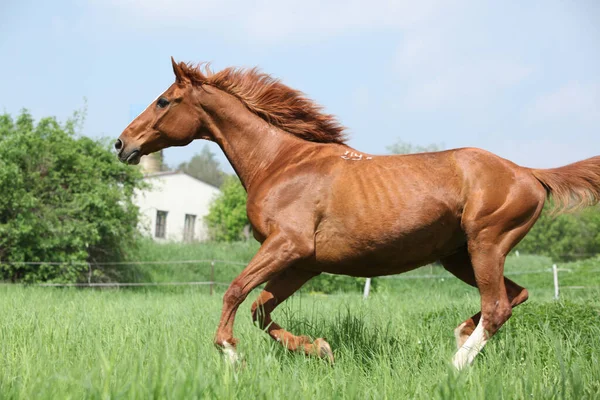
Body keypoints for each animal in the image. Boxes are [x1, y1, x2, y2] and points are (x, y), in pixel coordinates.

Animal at [113, 57, 600, 368]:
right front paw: (320, 349)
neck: (281, 163)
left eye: (163, 100)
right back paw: (461, 336)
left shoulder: (287, 246)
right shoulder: (303, 263)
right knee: (514, 297)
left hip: (487, 244)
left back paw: (455, 365)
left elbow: (234, 292)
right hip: (459, 256)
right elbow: (261, 311)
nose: (122, 143)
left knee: (498, 305)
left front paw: (230, 354)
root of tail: (528, 172)